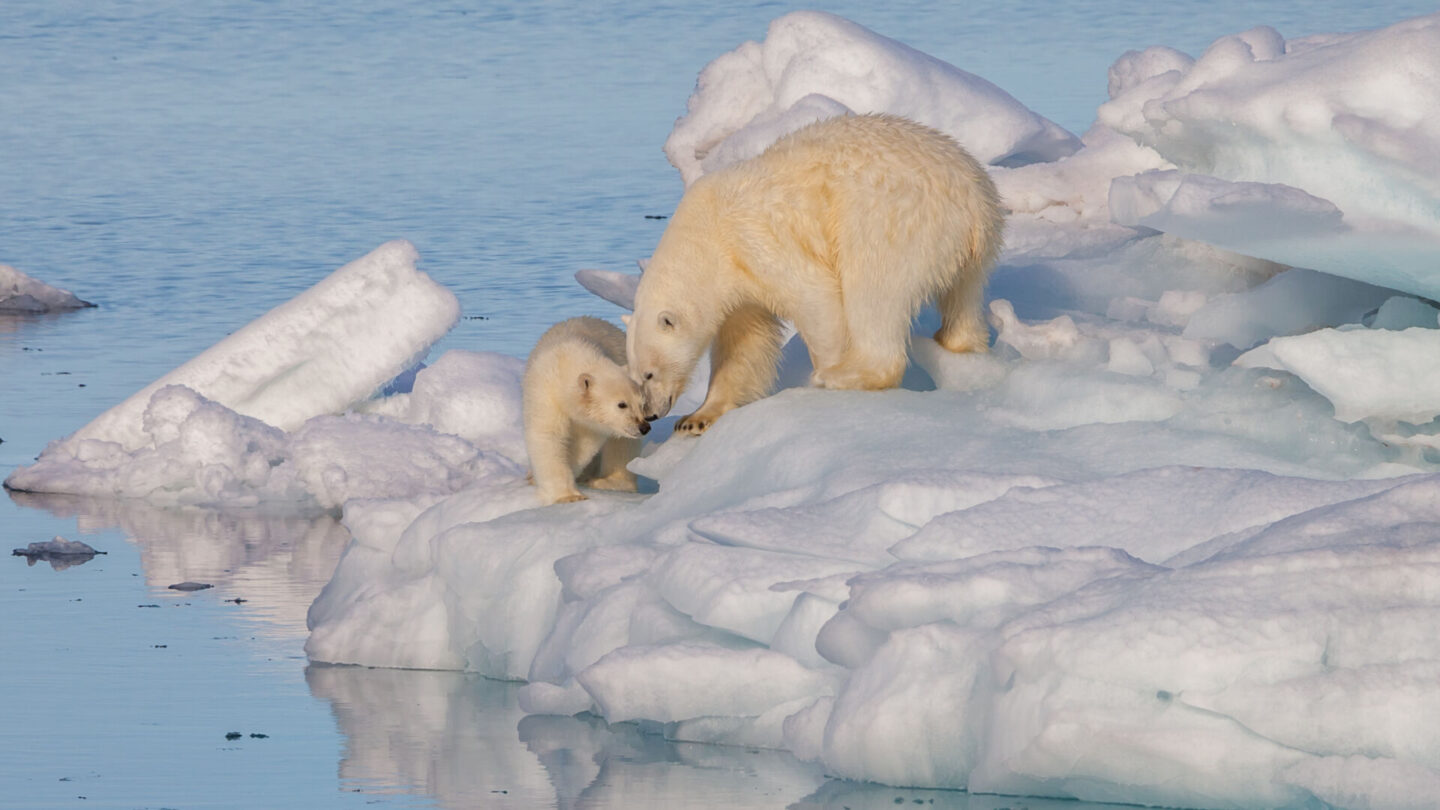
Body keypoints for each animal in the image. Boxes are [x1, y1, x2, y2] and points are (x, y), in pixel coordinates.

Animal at [521, 312, 650, 501]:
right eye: (622, 404)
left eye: (642, 404)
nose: (644, 427)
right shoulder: (545, 392)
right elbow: (548, 435)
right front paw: (568, 496)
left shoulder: (592, 424)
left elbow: (583, 444)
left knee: (622, 446)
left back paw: (607, 482)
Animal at [624, 111, 1008, 435]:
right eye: (633, 375)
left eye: (649, 373)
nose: (652, 414)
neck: (706, 236)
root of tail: (975, 201)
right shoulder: (738, 283)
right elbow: (743, 344)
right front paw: (697, 418)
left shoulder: (756, 241)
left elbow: (815, 298)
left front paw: (826, 369)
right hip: (972, 247)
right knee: (964, 297)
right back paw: (959, 343)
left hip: (891, 220)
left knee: (874, 291)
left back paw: (844, 376)